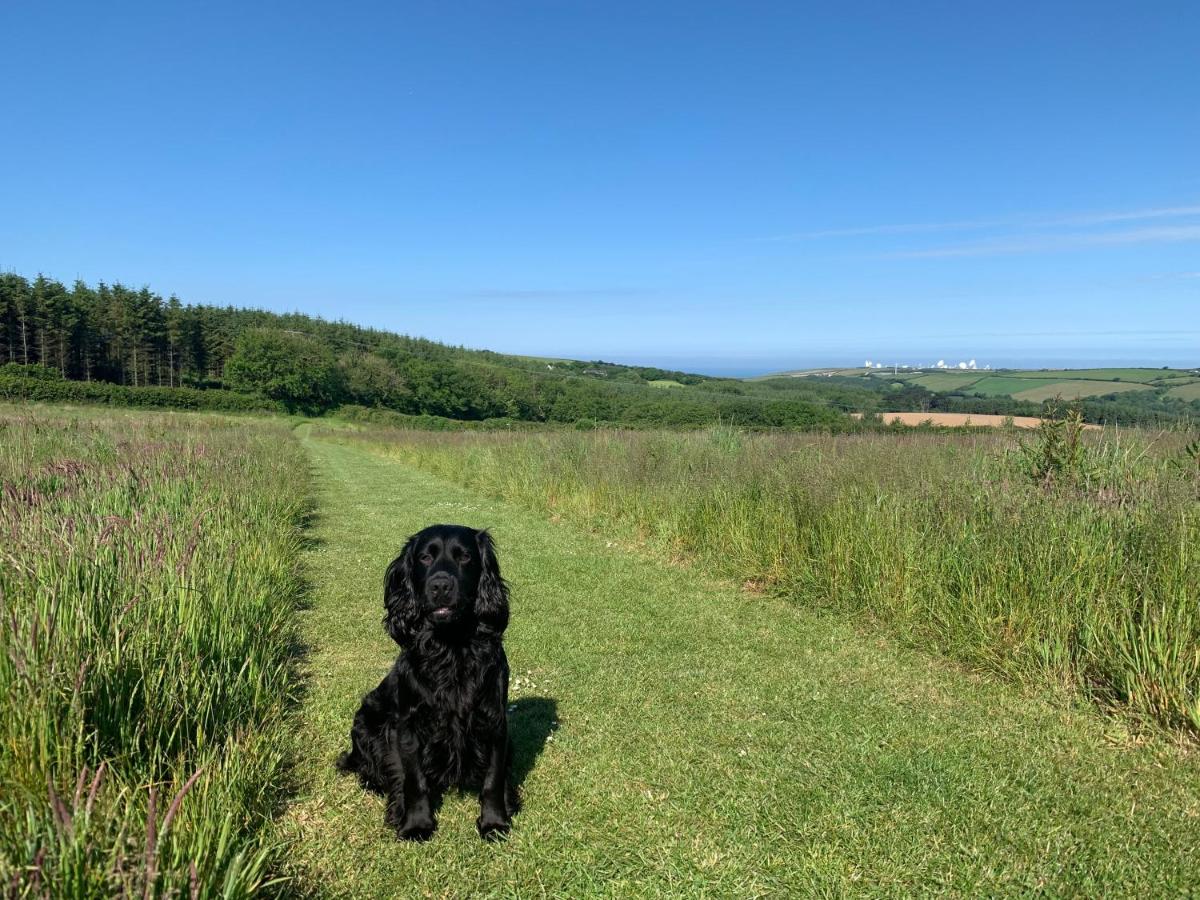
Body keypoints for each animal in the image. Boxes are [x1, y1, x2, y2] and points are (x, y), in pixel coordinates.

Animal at [336, 525, 518, 844]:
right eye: (424, 557)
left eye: (465, 556)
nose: (441, 586)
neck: (452, 646)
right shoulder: (408, 726)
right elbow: (414, 779)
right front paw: (416, 824)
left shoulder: (494, 720)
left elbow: (493, 778)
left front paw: (494, 822)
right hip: (367, 721)